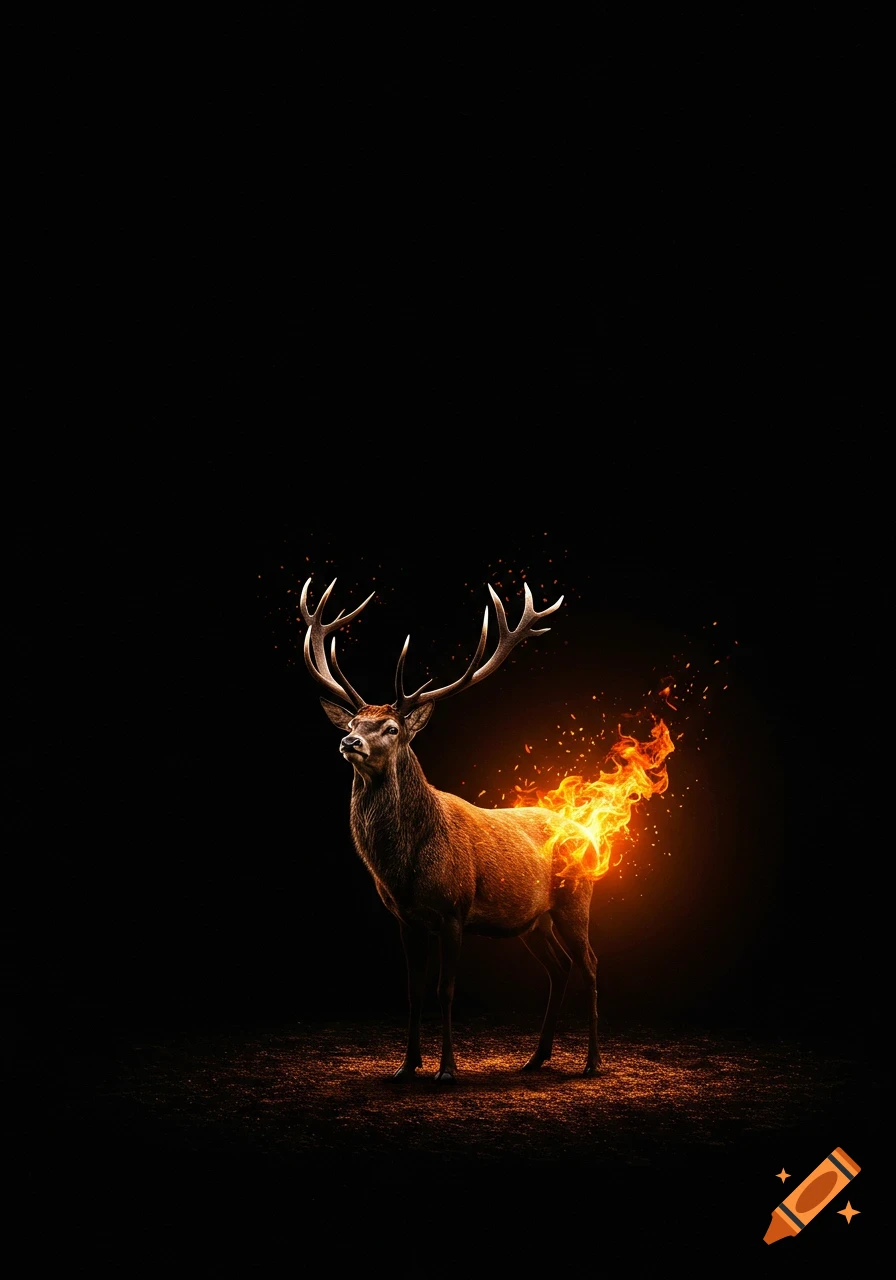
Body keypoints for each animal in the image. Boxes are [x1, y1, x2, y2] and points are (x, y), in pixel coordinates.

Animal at [300, 577, 602, 1082]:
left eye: (391, 728)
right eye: (355, 720)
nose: (349, 740)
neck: (403, 868)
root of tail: (591, 837)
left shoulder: (454, 911)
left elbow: (446, 990)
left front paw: (446, 1070)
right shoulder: (405, 918)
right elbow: (413, 991)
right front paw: (406, 1066)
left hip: (575, 900)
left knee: (590, 965)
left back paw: (593, 1063)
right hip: (533, 920)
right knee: (559, 968)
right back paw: (535, 1058)